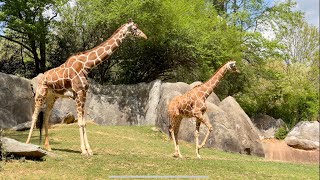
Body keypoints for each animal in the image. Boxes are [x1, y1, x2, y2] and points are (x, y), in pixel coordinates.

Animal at [25, 19, 148, 155]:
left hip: (52, 97)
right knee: (35, 115)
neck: (87, 65)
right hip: (41, 94)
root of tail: (41, 78)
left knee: (46, 117)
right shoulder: (78, 93)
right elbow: (80, 122)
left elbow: (84, 122)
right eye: (135, 28)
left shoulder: (84, 93)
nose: (145, 36)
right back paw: (27, 142)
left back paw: (48, 146)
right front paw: (84, 150)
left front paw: (89, 150)